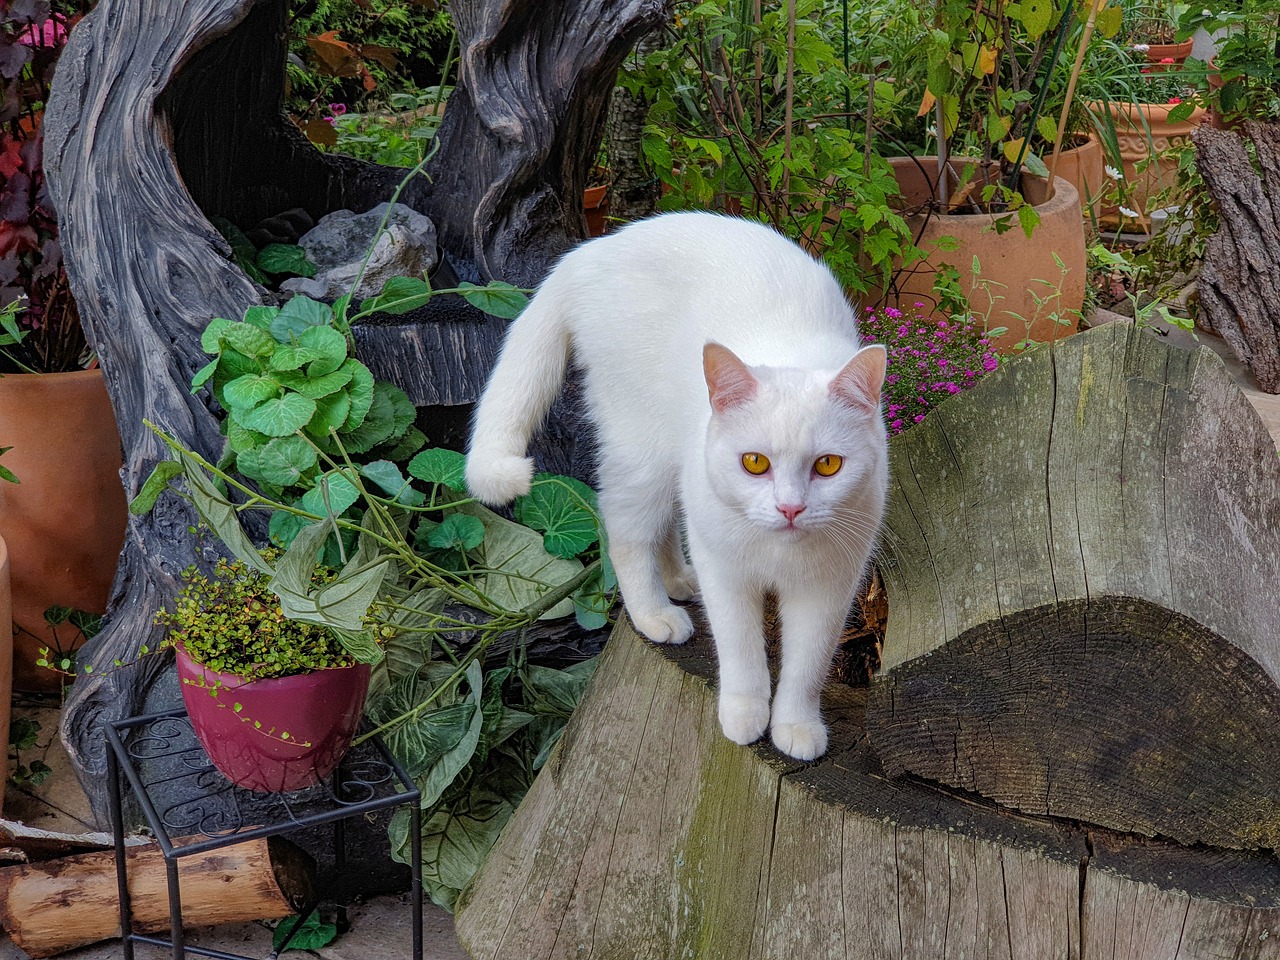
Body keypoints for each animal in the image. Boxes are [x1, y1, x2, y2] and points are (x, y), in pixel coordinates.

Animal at [463, 209, 890, 757]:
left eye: (829, 466)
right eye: (754, 463)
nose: (790, 509)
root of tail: (591, 250)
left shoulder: (827, 588)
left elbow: (806, 667)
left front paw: (795, 726)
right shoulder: (726, 574)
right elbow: (741, 650)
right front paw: (745, 714)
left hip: (669, 461)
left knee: (665, 524)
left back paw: (678, 580)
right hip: (641, 452)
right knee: (625, 534)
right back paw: (654, 614)